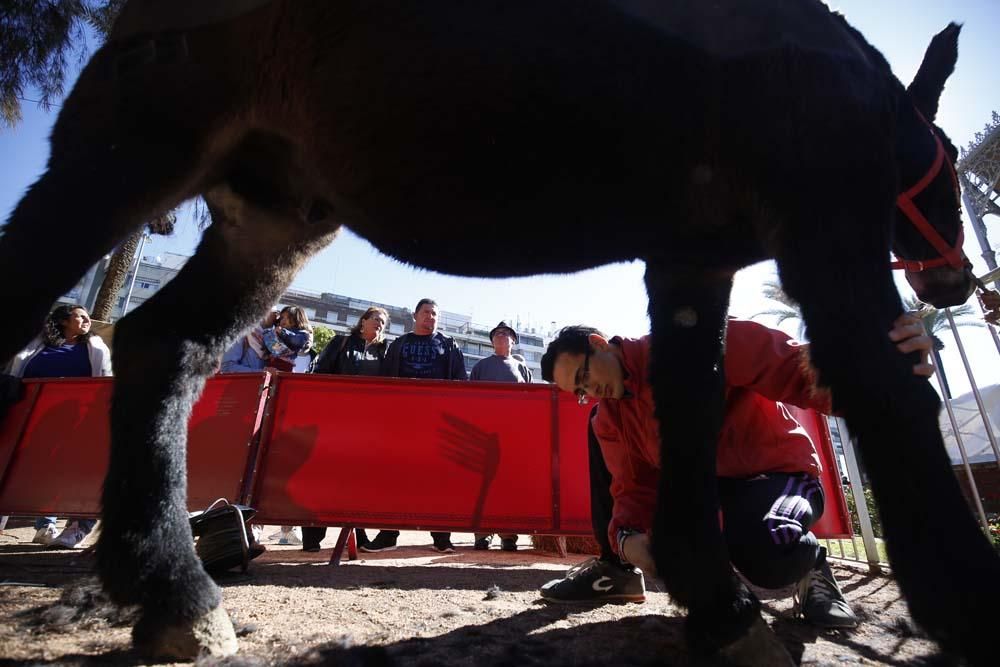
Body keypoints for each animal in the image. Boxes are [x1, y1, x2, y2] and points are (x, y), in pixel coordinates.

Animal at [1, 0, 1000, 664]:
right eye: (949, 161)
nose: (956, 281)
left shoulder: (691, 257)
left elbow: (693, 398)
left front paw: (714, 599)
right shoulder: (822, 220)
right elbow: (884, 387)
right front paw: (963, 598)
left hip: (271, 218)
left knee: (161, 347)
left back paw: (173, 591)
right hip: (138, 146)